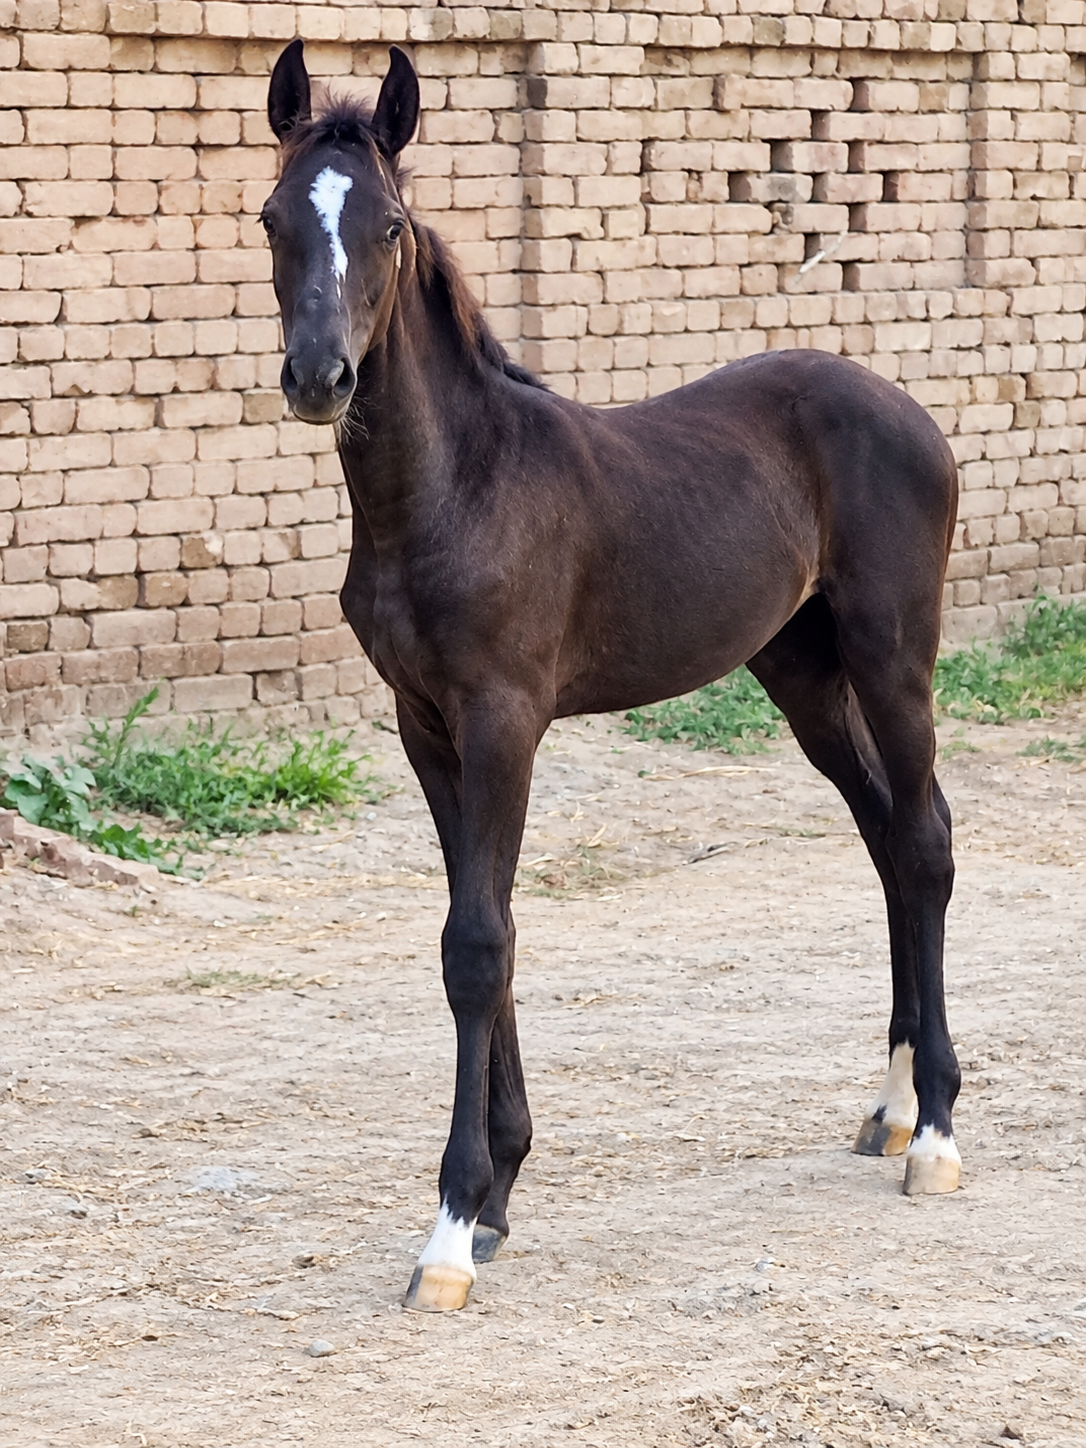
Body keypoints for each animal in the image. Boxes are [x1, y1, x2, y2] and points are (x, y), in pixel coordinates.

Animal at [262, 40, 962, 1313]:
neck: (457, 486)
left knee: (927, 842)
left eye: (388, 224)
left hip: (894, 653)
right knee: (890, 839)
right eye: (273, 217)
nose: (319, 376)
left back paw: (934, 1133)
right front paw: (497, 1194)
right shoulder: (425, 726)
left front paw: (450, 1230)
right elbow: (481, 925)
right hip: (803, 675)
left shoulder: (504, 719)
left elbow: (476, 944)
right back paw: (889, 1108)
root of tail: (910, 411)